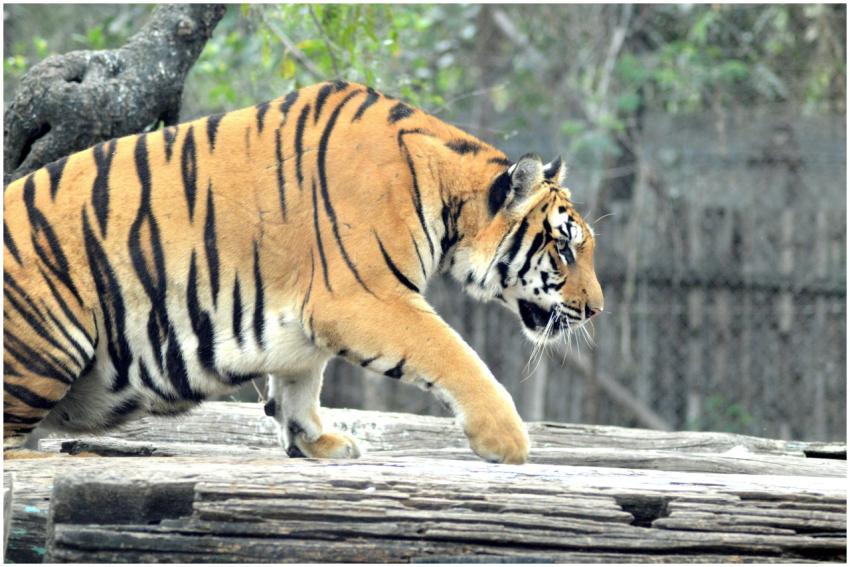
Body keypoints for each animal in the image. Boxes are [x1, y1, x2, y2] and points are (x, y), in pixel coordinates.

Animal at [3, 80, 603, 464]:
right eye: (565, 249)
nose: (596, 309)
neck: (445, 192)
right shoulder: (364, 297)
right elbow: (453, 353)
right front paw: (506, 440)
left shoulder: (307, 313)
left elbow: (299, 380)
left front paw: (314, 441)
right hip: (48, 340)